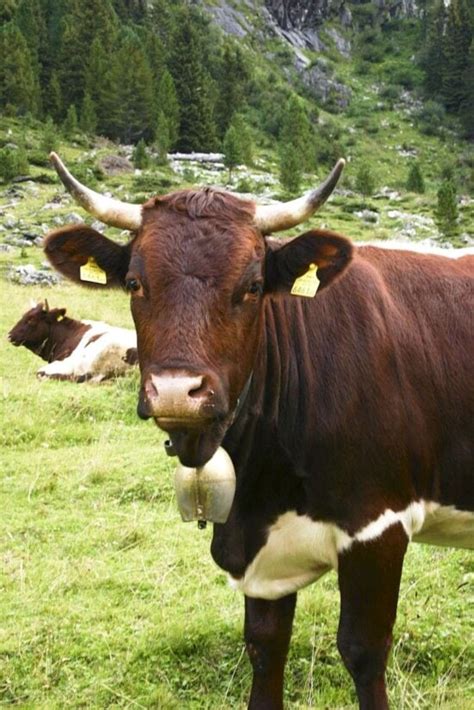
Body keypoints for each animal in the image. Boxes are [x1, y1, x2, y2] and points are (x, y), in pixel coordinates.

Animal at [43, 151, 473, 709]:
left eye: (250, 287)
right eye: (135, 284)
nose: (178, 391)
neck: (262, 484)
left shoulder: (378, 522)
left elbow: (363, 648)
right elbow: (265, 646)